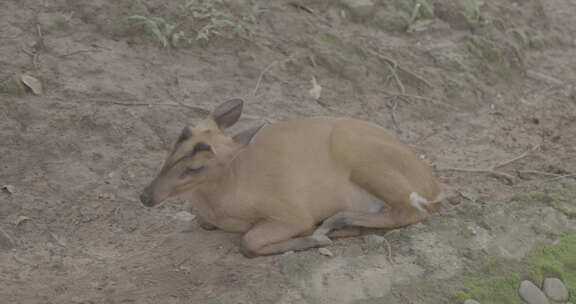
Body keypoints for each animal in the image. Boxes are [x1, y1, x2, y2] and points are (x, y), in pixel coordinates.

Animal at [140, 98, 440, 258]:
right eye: (173, 147)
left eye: (195, 168)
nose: (145, 197)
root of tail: (433, 185)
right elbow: (206, 223)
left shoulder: (291, 212)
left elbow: (248, 242)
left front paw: (314, 240)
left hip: (363, 159)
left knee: (412, 211)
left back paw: (332, 224)